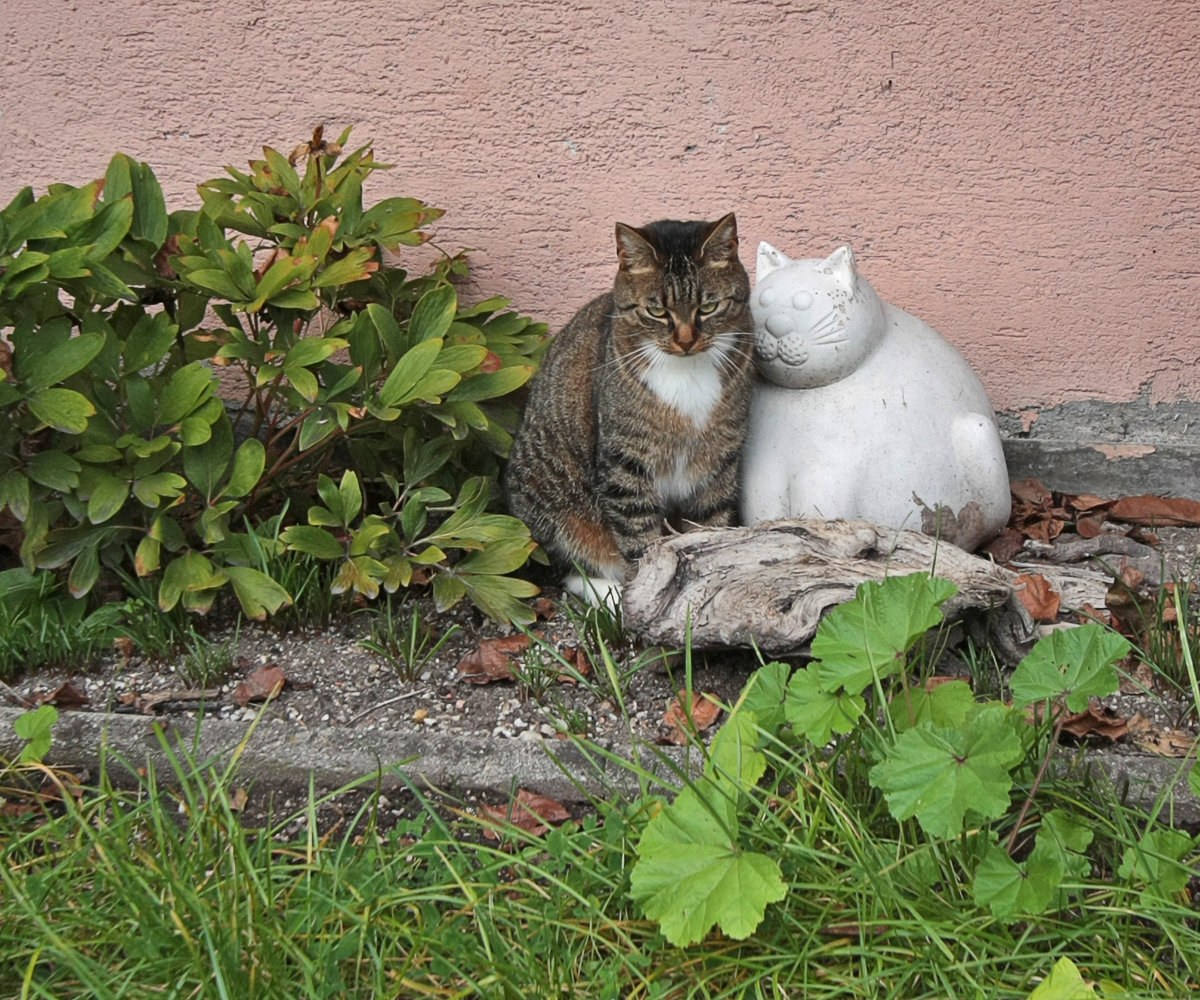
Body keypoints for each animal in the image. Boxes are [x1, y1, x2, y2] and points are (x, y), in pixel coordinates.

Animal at [504, 212, 748, 600]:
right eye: (657, 310)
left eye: (708, 307)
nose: (685, 341)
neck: (686, 370)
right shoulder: (625, 463)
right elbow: (639, 539)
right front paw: (649, 592)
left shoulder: (718, 462)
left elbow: (710, 523)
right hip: (552, 503)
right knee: (568, 565)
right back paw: (610, 594)